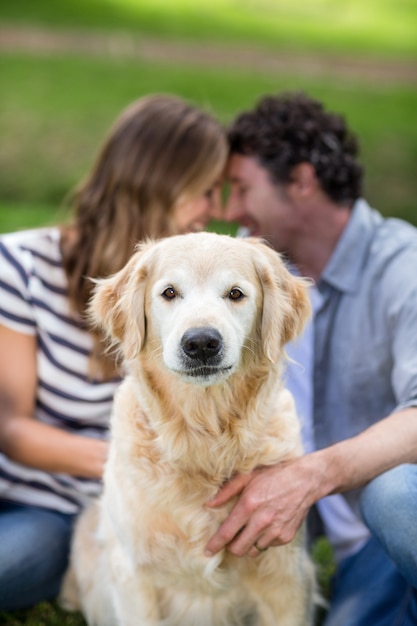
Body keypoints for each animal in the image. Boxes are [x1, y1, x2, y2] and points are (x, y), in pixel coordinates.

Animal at [60, 230, 316, 624]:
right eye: (169, 292)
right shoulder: (134, 576)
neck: (204, 438)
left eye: (235, 294)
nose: (201, 343)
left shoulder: (284, 576)